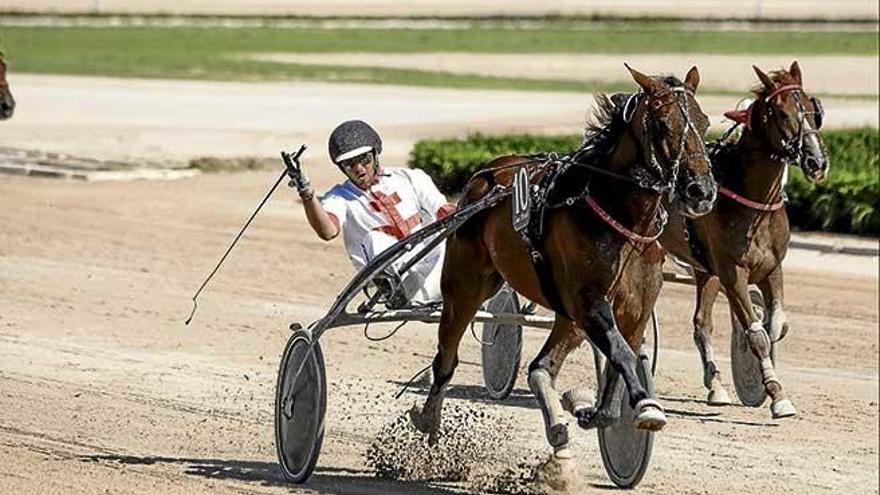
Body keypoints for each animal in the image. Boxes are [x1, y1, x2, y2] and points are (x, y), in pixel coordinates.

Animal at [410, 67, 716, 462]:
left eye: (704, 121)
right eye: (663, 124)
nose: (701, 190)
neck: (622, 220)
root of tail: (486, 174)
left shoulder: (634, 310)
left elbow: (618, 370)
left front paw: (591, 411)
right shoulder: (589, 304)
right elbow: (621, 353)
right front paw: (646, 407)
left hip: (565, 316)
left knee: (541, 367)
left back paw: (557, 426)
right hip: (464, 287)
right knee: (446, 358)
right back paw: (429, 420)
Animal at [660, 62, 832, 418]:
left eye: (813, 109)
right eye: (780, 112)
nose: (817, 162)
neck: (754, 203)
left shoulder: (771, 269)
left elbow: (776, 325)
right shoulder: (732, 272)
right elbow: (757, 335)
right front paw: (777, 395)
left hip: (705, 270)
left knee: (701, 324)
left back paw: (716, 386)